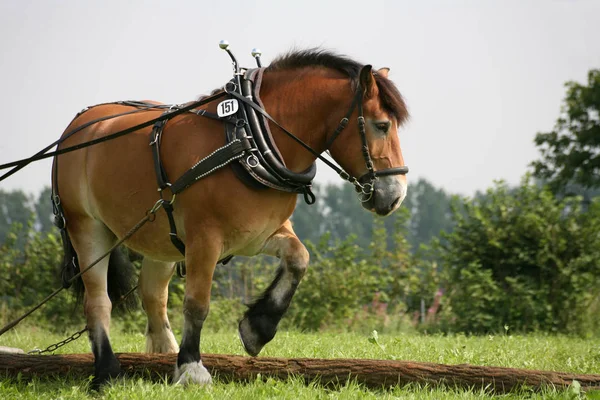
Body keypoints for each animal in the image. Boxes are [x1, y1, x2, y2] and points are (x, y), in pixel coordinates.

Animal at [52, 47, 408, 388]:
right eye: (382, 125)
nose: (397, 194)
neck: (246, 139)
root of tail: (77, 127)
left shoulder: (260, 233)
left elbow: (299, 259)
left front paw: (257, 328)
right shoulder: (204, 240)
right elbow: (197, 303)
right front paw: (192, 368)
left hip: (161, 240)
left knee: (152, 295)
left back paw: (163, 354)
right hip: (86, 227)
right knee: (98, 303)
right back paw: (108, 372)